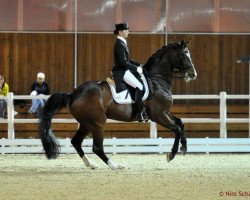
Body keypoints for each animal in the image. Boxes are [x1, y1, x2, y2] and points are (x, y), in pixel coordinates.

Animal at [38, 40, 197, 170]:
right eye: (184, 55)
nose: (193, 74)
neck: (157, 80)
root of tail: (73, 94)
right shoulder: (158, 115)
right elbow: (176, 129)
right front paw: (171, 154)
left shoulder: (164, 112)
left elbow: (181, 123)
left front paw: (184, 147)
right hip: (97, 123)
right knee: (97, 147)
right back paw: (115, 166)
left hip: (86, 123)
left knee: (76, 142)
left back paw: (91, 164)